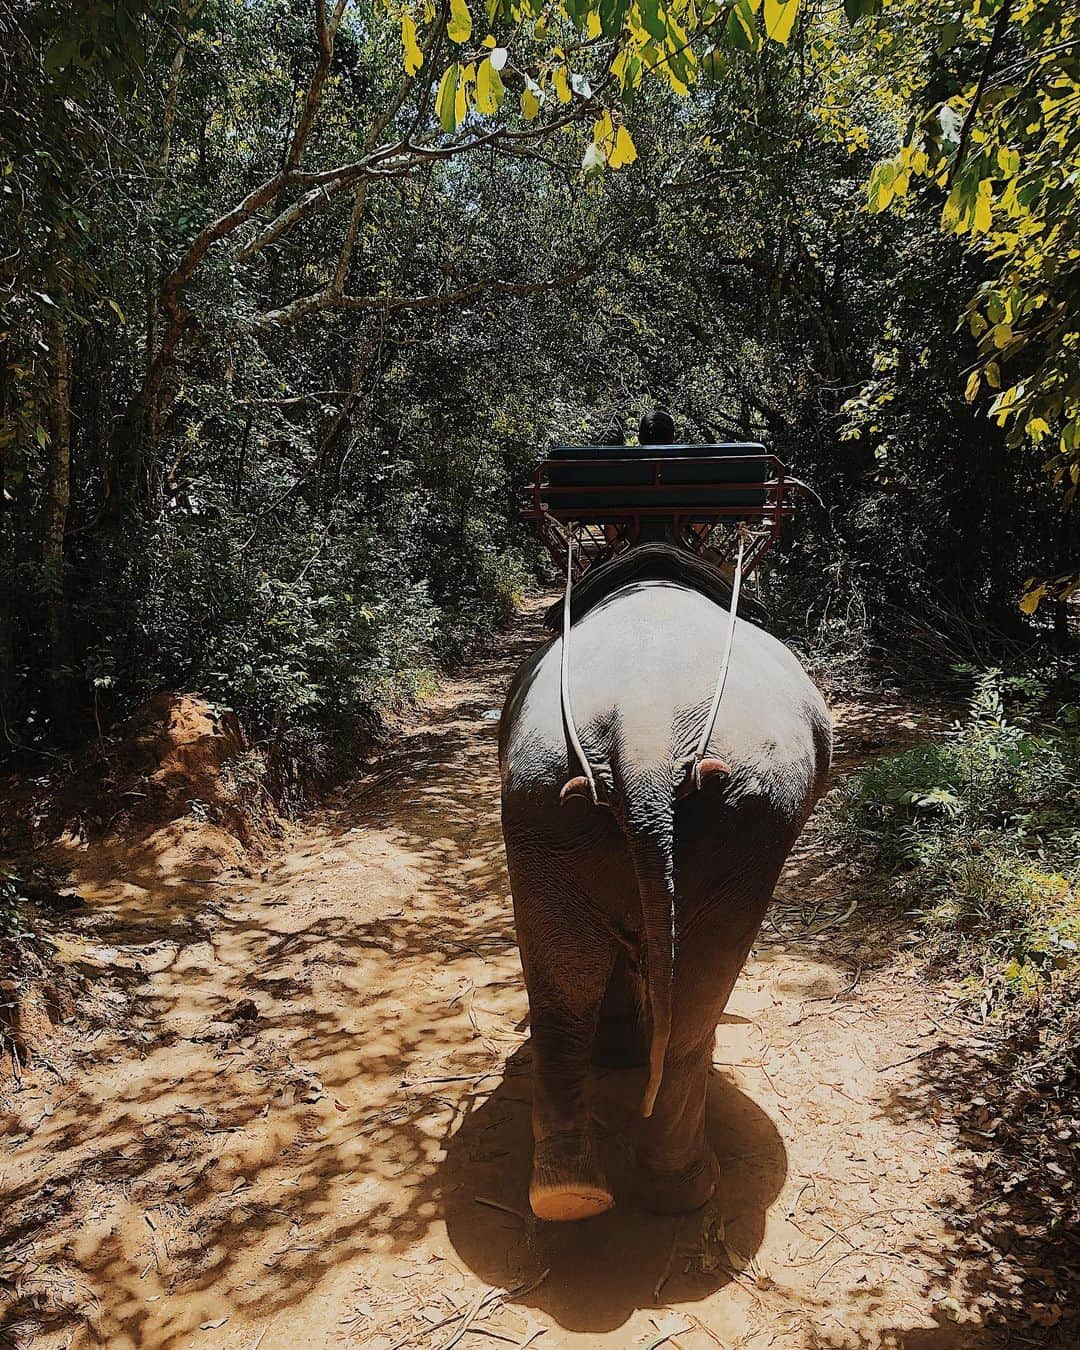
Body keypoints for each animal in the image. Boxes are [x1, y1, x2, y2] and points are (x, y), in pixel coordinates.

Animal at [494, 553, 831, 1231]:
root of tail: (644, 734)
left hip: (547, 805)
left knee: (567, 982)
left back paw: (571, 1193)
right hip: (747, 815)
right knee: (701, 986)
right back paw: (682, 1186)